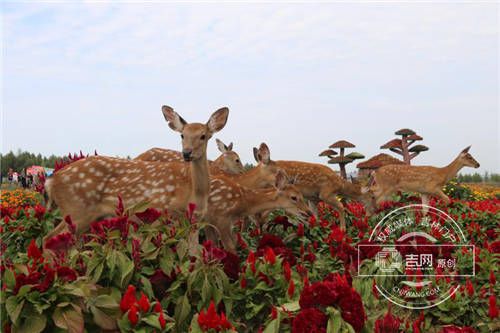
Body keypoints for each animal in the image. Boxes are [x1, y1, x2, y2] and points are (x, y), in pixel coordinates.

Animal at [44, 105, 229, 237]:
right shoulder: (162, 212)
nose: (187, 153)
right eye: (182, 135)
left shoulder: (195, 221)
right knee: (51, 238)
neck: (194, 190)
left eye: (203, 136)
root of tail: (51, 180)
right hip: (77, 210)